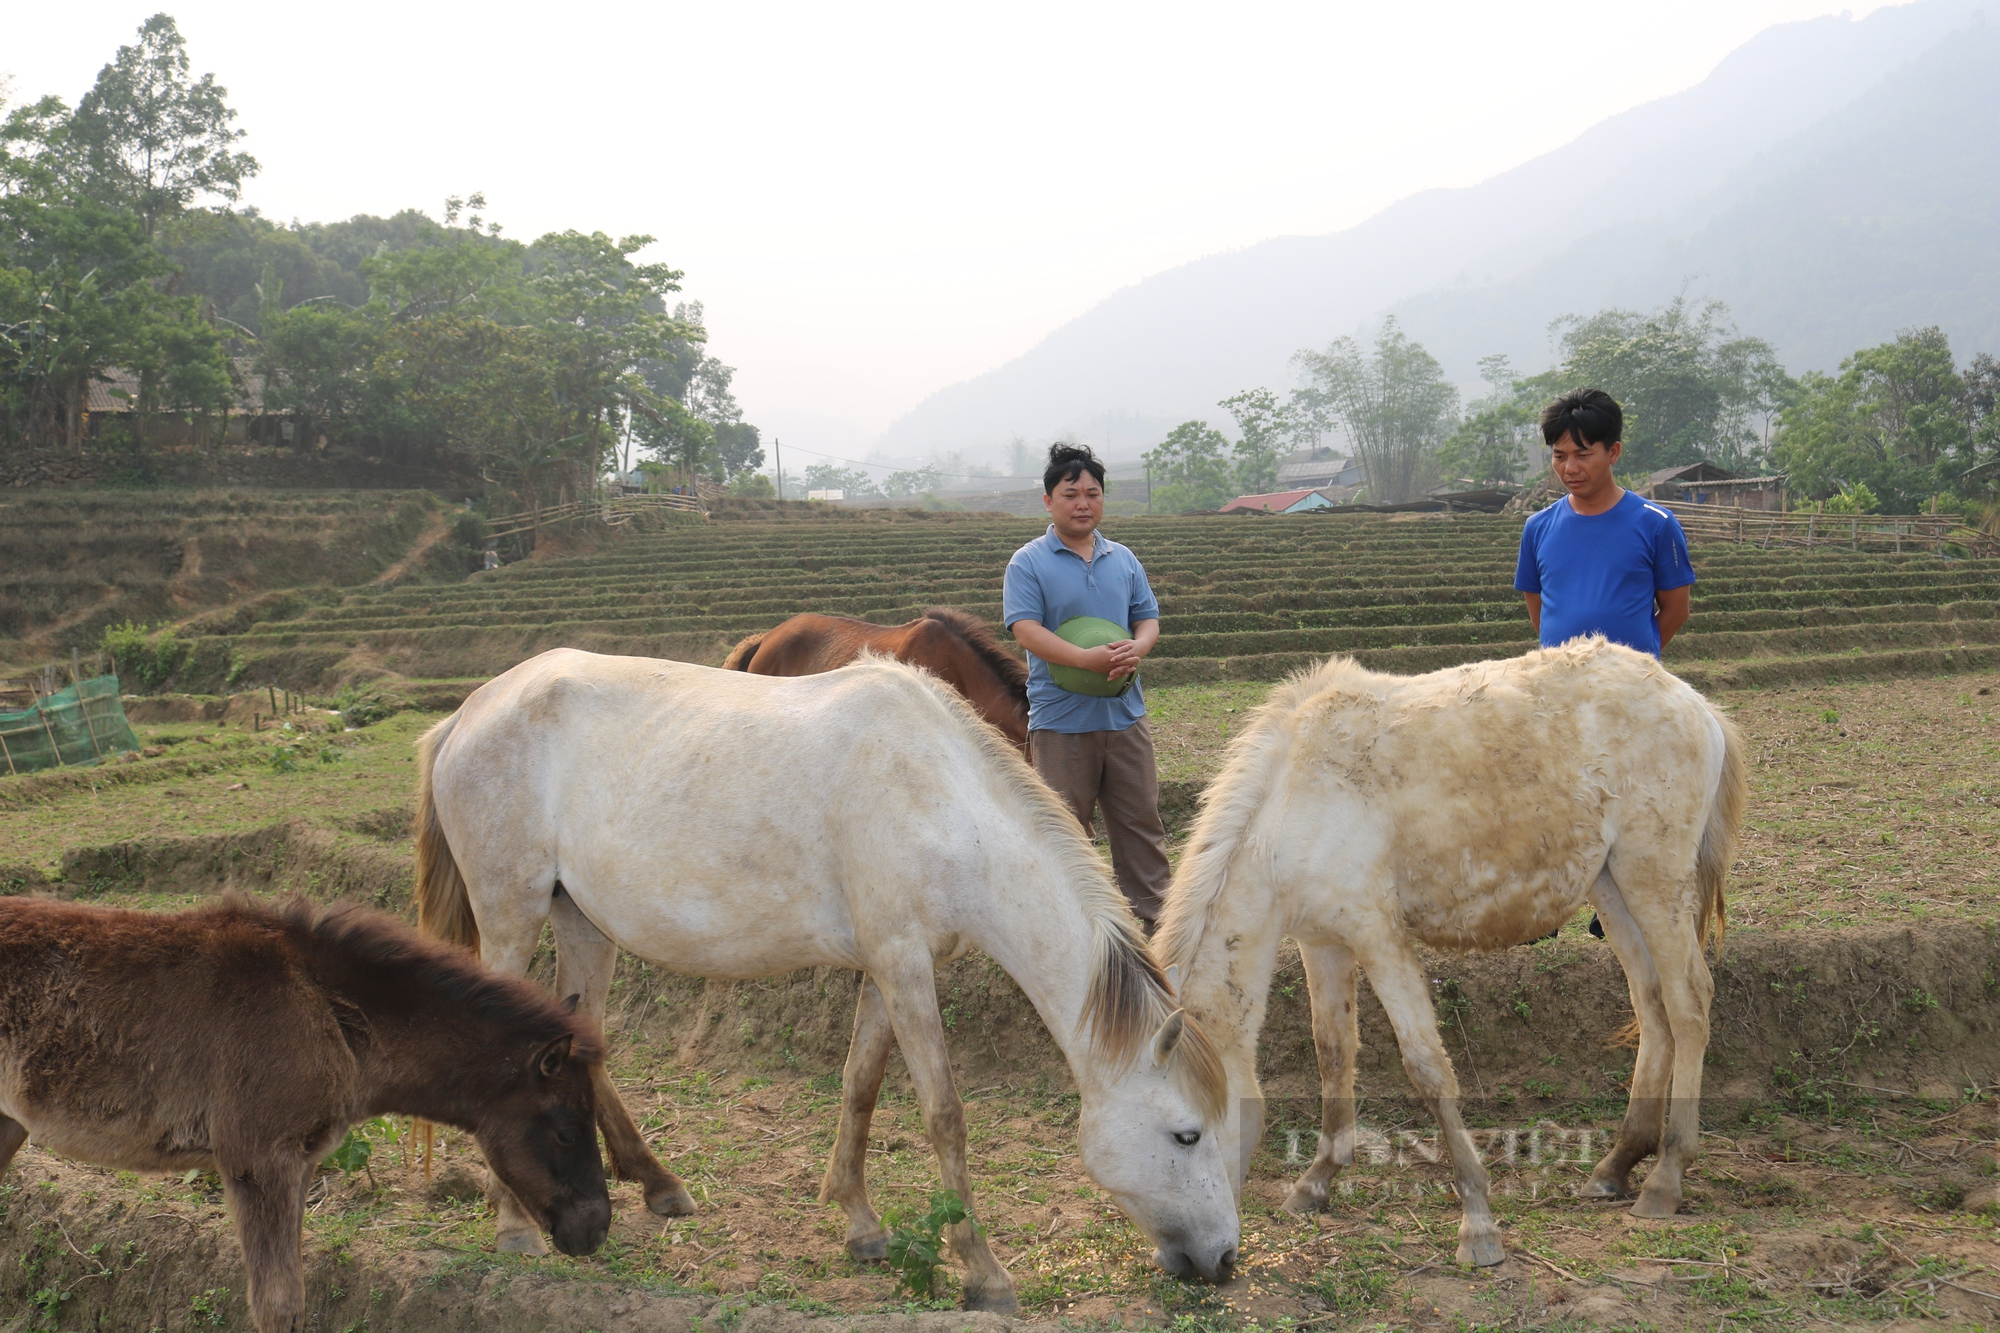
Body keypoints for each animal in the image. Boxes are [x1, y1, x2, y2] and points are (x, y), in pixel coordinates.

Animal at [0, 892, 608, 1328]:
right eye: (565, 1131)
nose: (596, 1229)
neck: (327, 1010)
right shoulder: (259, 1160)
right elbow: (278, 1303)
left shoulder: (299, 1163)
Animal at [416, 644, 1240, 1304]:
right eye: (1187, 1134)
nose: (1227, 1259)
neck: (943, 801)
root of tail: (468, 713)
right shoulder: (904, 964)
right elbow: (944, 1114)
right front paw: (982, 1270)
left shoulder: (888, 966)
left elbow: (861, 1085)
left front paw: (860, 1223)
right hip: (512, 916)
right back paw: (516, 1226)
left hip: (583, 922)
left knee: (582, 1043)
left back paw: (658, 1184)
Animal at [1160, 640, 1752, 1264]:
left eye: (1186, 1135)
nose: (1190, 1261)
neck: (1296, 799)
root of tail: (1694, 701)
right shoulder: (1323, 943)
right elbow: (1333, 1054)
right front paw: (1317, 1181)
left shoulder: (1378, 937)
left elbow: (1427, 1067)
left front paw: (1478, 1220)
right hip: (1614, 889)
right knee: (1651, 1004)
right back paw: (1617, 1164)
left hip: (1653, 882)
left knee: (1689, 1005)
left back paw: (1667, 1175)